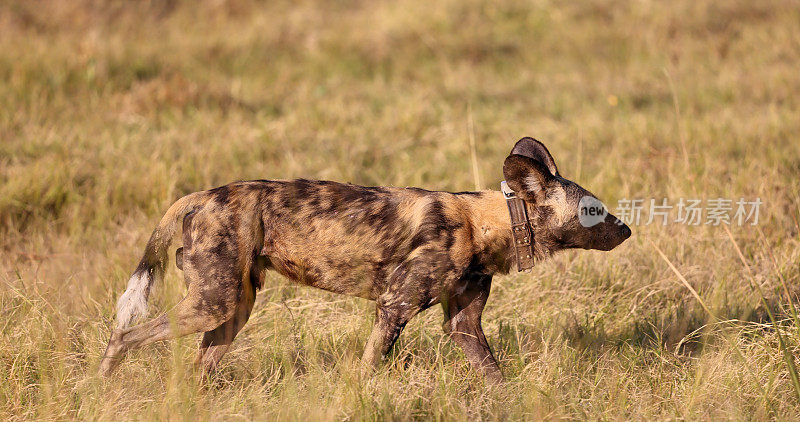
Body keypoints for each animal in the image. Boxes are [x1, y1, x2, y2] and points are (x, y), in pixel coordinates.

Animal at [98, 137, 632, 380]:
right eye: (593, 211)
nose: (627, 227)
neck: (484, 223)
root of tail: (201, 195)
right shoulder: (393, 306)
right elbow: (369, 367)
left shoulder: (463, 324)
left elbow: (493, 375)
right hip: (213, 303)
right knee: (123, 335)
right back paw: (101, 385)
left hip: (230, 310)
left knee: (199, 366)